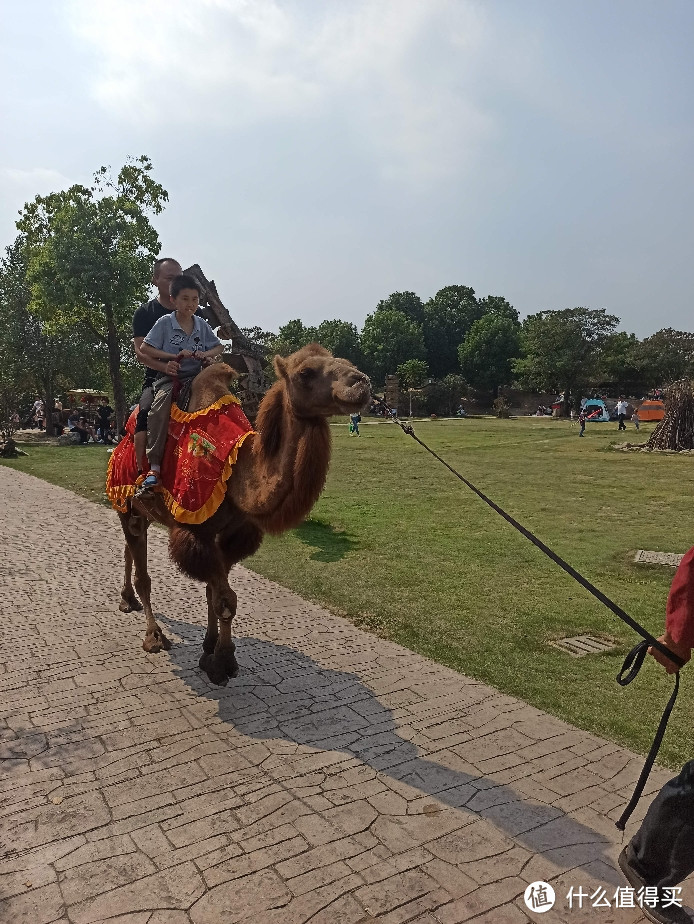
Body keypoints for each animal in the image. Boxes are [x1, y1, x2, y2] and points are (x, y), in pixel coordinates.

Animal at [117, 346, 372, 684]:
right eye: (305, 373)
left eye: (347, 363)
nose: (362, 383)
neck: (236, 473)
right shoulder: (194, 531)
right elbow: (225, 599)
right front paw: (222, 662)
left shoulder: (233, 535)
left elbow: (214, 593)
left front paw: (210, 649)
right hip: (124, 502)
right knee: (142, 572)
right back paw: (154, 636)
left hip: (140, 512)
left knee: (129, 548)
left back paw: (127, 599)